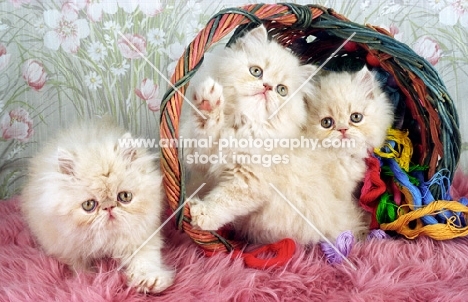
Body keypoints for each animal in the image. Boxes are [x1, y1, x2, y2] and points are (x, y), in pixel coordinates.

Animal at [21, 117, 175, 292]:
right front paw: (87, 277)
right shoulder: (65, 246)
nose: (108, 208)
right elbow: (77, 265)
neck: (105, 240)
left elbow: (145, 262)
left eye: (125, 196)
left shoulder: (142, 239)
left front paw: (150, 282)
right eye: (89, 205)